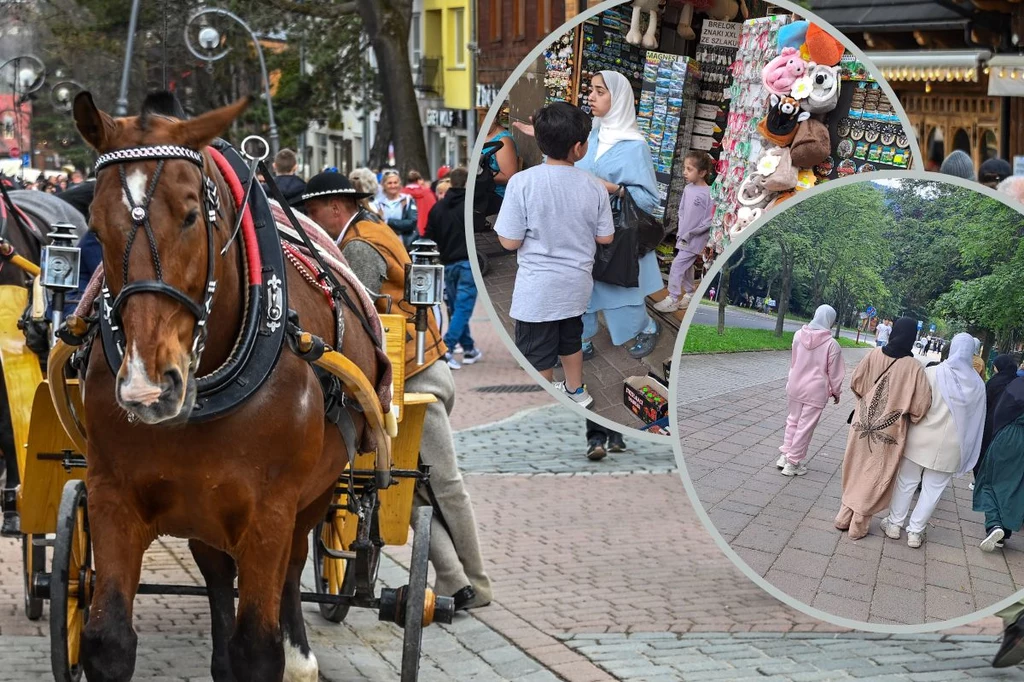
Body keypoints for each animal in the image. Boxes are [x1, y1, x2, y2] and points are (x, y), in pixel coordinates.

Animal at [73, 91, 380, 679]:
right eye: (96, 227)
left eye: (192, 216)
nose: (148, 387)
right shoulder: (112, 495)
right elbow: (108, 642)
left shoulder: (270, 511)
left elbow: (258, 648)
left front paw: (284, 653)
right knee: (217, 571)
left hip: (315, 493)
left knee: (292, 568)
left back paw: (301, 655)